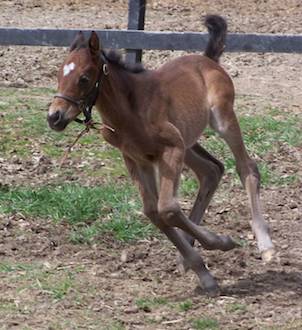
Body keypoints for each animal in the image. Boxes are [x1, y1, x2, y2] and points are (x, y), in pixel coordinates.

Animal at [47, 15, 274, 294]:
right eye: (59, 74)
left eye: (84, 78)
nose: (54, 117)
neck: (131, 110)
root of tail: (207, 60)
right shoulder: (137, 159)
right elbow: (153, 212)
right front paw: (203, 270)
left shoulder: (171, 149)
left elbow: (167, 209)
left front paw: (220, 241)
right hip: (187, 141)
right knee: (211, 170)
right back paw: (188, 254)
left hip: (221, 120)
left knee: (246, 168)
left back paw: (265, 245)